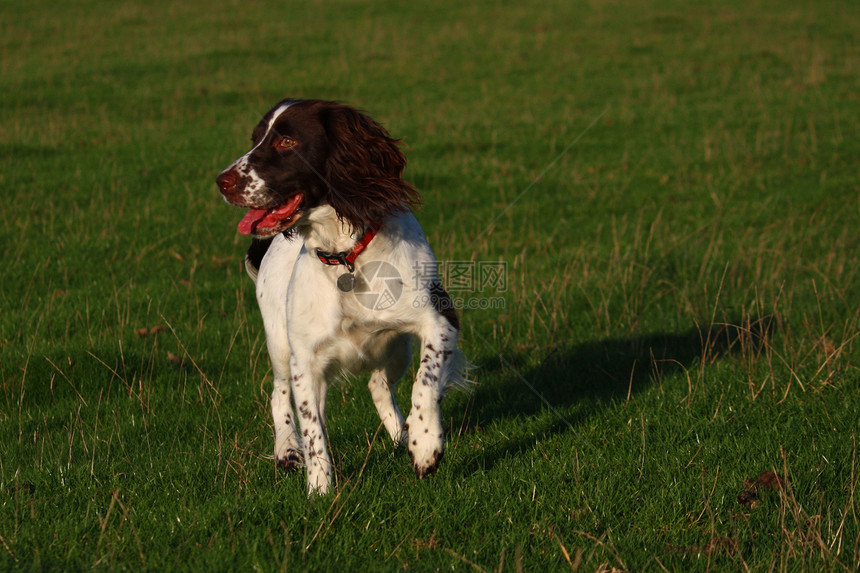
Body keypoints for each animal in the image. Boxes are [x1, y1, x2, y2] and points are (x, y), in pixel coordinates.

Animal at [218, 98, 466, 492]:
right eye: (255, 139)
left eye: (287, 141)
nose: (222, 181)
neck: (346, 254)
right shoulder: (305, 361)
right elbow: (313, 428)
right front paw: (319, 489)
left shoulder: (439, 320)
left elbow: (425, 384)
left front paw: (425, 444)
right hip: (280, 344)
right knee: (278, 393)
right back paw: (287, 450)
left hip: (397, 349)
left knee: (379, 384)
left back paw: (401, 436)